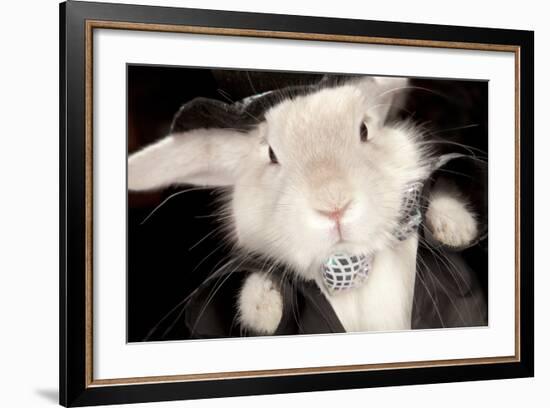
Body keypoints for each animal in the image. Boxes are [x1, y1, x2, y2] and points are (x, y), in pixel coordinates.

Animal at [128, 75, 478, 334]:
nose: (334, 205)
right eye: (270, 154)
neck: (351, 266)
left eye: (364, 130)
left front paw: (456, 227)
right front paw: (262, 308)